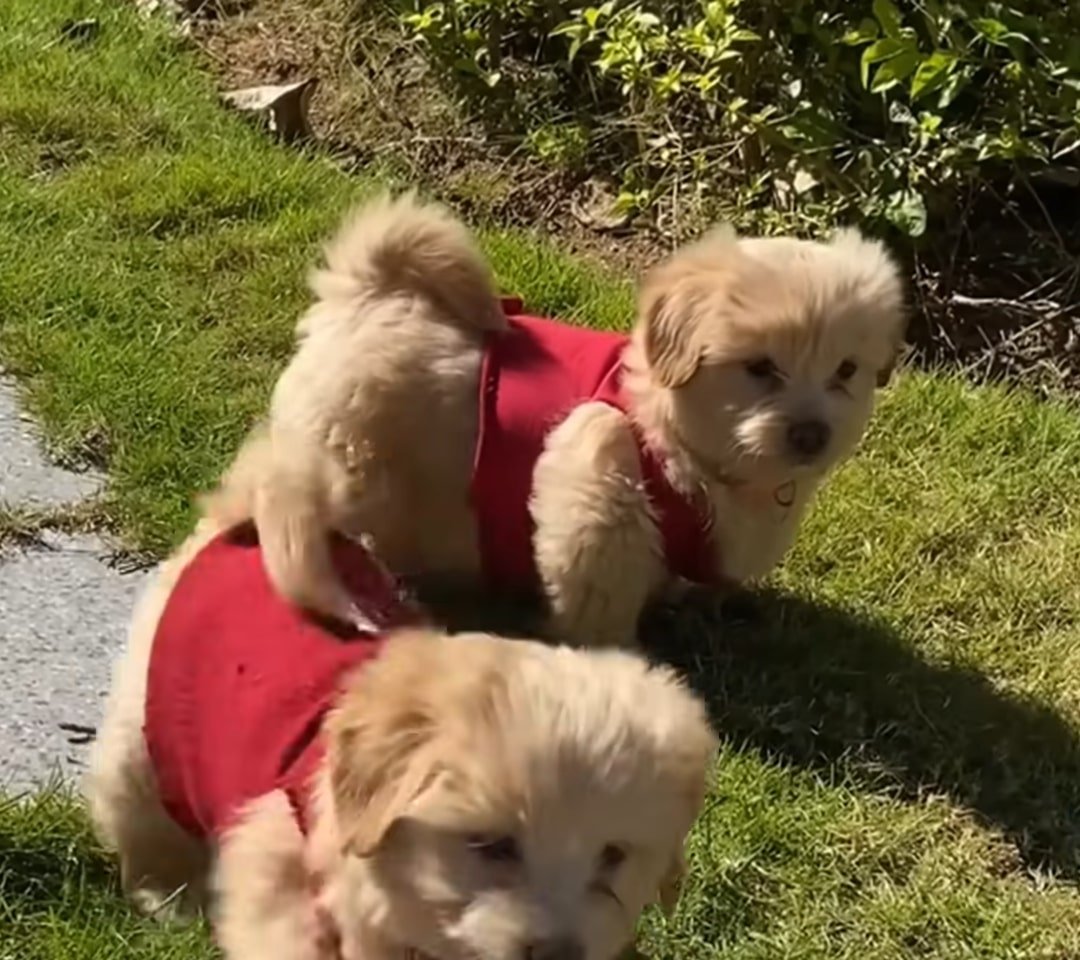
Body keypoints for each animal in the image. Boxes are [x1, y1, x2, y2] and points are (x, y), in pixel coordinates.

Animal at [84, 520, 717, 958]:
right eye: (491, 846)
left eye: (614, 856)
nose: (559, 954)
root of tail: (239, 523)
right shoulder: (279, 880)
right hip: (144, 736)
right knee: (140, 815)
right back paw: (167, 895)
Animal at [206, 193, 907, 643]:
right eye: (760, 368)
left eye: (846, 371)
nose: (811, 433)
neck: (676, 434)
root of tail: (367, 290)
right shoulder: (597, 485)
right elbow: (599, 598)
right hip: (347, 458)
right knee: (265, 481)